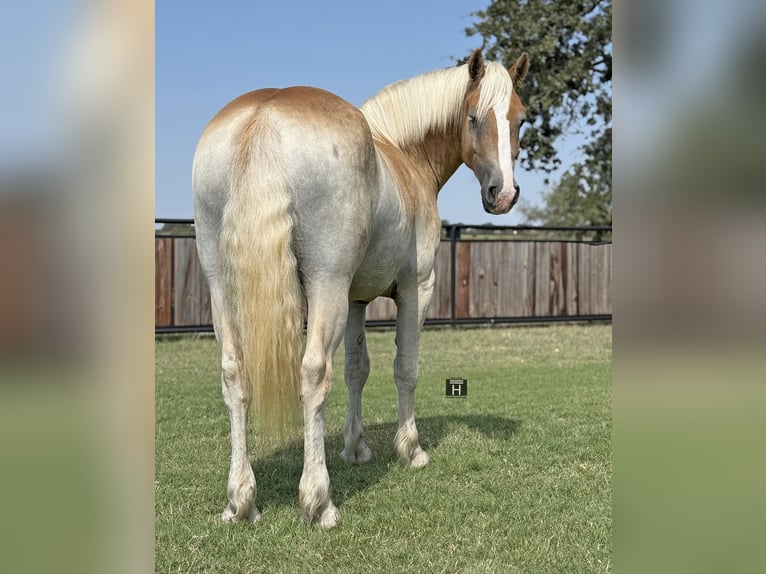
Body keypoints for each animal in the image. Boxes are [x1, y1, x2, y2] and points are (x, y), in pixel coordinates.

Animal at [192, 49, 529, 528]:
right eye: (473, 117)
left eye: (520, 119)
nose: (503, 194)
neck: (404, 156)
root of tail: (265, 115)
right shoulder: (416, 290)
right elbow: (405, 368)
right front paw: (411, 450)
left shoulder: (355, 301)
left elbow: (358, 369)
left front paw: (356, 448)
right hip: (325, 285)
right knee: (315, 373)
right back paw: (319, 502)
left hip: (223, 288)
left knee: (234, 375)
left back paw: (241, 502)